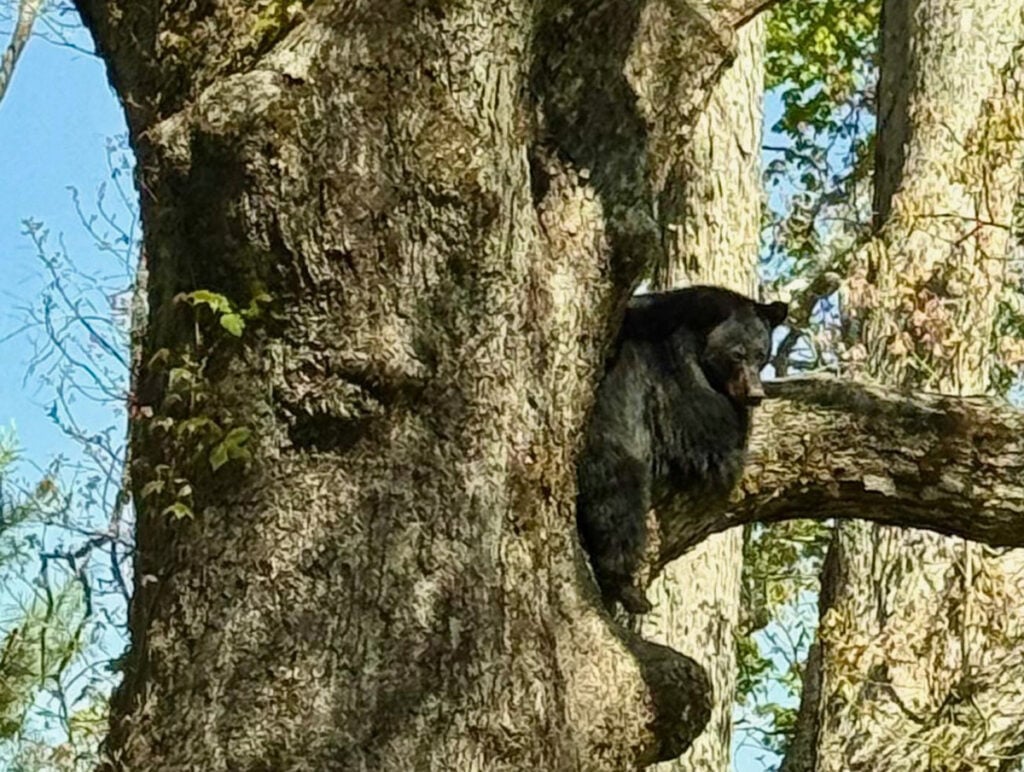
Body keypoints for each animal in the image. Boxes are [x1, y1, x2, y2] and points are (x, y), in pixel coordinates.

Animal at [576, 285, 788, 615]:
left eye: (761, 355)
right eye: (737, 354)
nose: (755, 394)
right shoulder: (669, 370)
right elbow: (704, 427)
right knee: (617, 495)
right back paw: (628, 589)